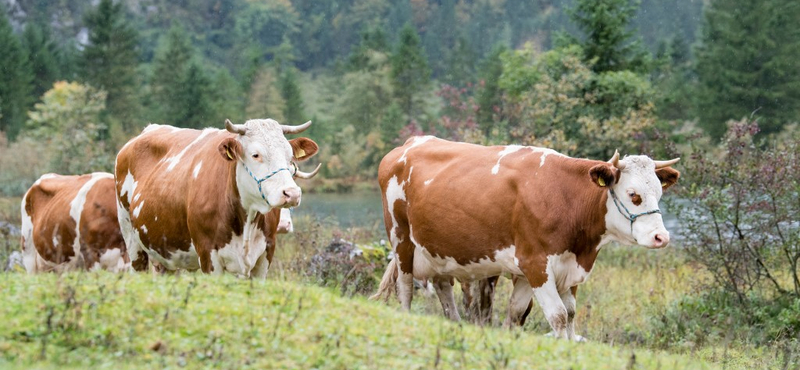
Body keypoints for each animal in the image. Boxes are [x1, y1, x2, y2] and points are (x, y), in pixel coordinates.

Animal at [115, 118, 318, 278]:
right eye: (256, 154)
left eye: (290, 156)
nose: (291, 193)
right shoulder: (208, 255)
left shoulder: (265, 256)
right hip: (132, 242)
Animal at [372, 137, 680, 342]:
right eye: (633, 194)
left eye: (659, 193)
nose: (661, 237)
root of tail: (410, 142)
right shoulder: (536, 265)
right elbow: (557, 315)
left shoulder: (556, 270)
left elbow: (546, 314)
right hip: (401, 240)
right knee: (405, 288)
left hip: (441, 253)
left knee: (445, 291)